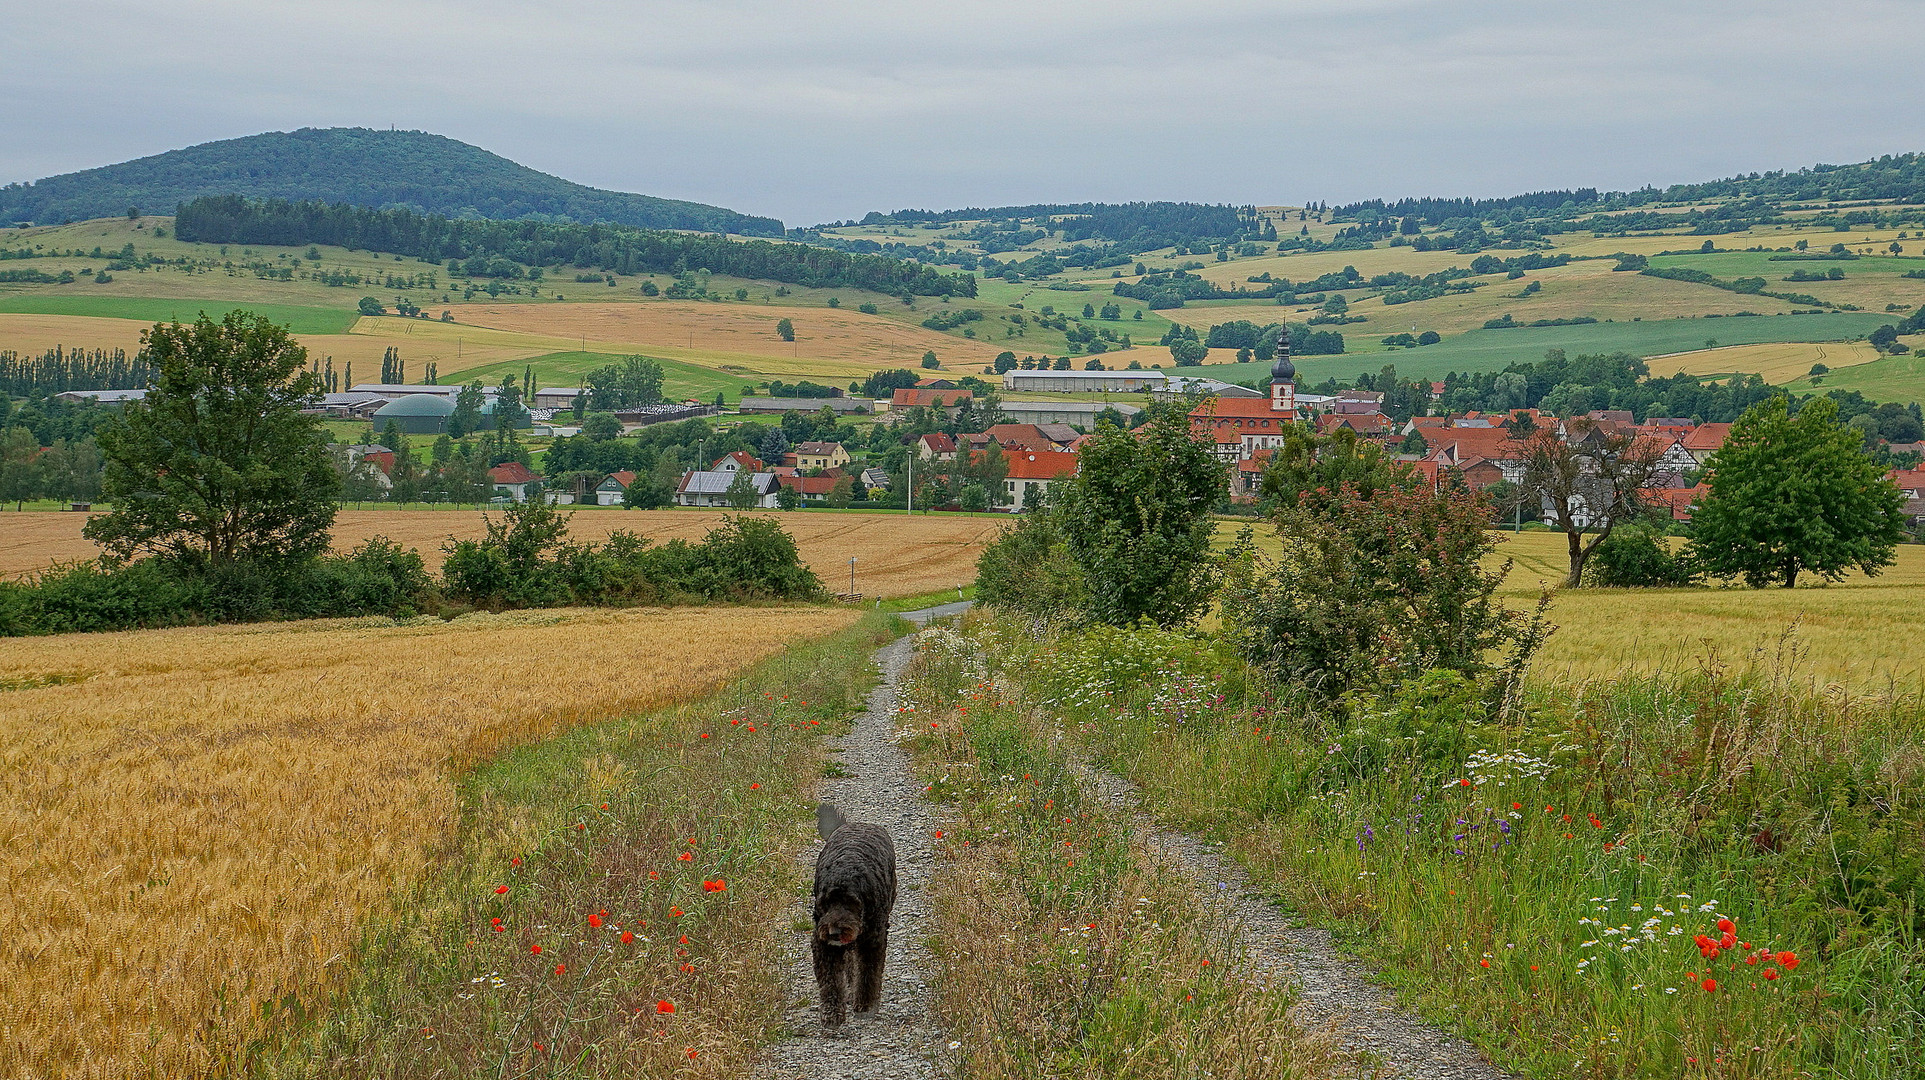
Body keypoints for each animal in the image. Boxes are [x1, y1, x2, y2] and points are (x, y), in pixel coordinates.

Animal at [812, 800, 900, 1024]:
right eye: (824, 903)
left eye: (852, 903)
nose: (834, 932)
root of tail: (855, 824)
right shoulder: (823, 945)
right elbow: (830, 981)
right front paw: (832, 1013)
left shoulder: (873, 941)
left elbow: (868, 974)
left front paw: (866, 1005)